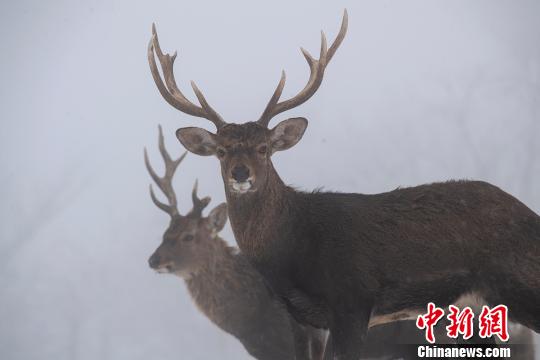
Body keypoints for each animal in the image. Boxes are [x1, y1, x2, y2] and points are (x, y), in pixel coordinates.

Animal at [147, 11, 540, 360]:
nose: (241, 173)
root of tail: (530, 216)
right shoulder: (303, 319)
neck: (291, 248)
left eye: (264, 148)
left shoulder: (352, 302)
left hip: (518, 284)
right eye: (222, 151)